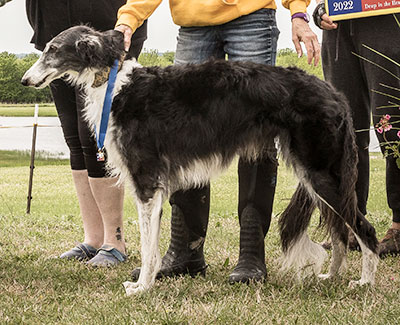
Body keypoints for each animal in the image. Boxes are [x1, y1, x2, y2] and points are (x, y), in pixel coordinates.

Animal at [21, 26, 378, 294]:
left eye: (53, 50)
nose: (25, 80)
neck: (115, 85)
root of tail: (335, 95)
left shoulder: (147, 181)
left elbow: (148, 247)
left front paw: (142, 287)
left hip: (322, 172)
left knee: (364, 228)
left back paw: (365, 282)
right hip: (317, 175)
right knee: (341, 231)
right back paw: (332, 276)